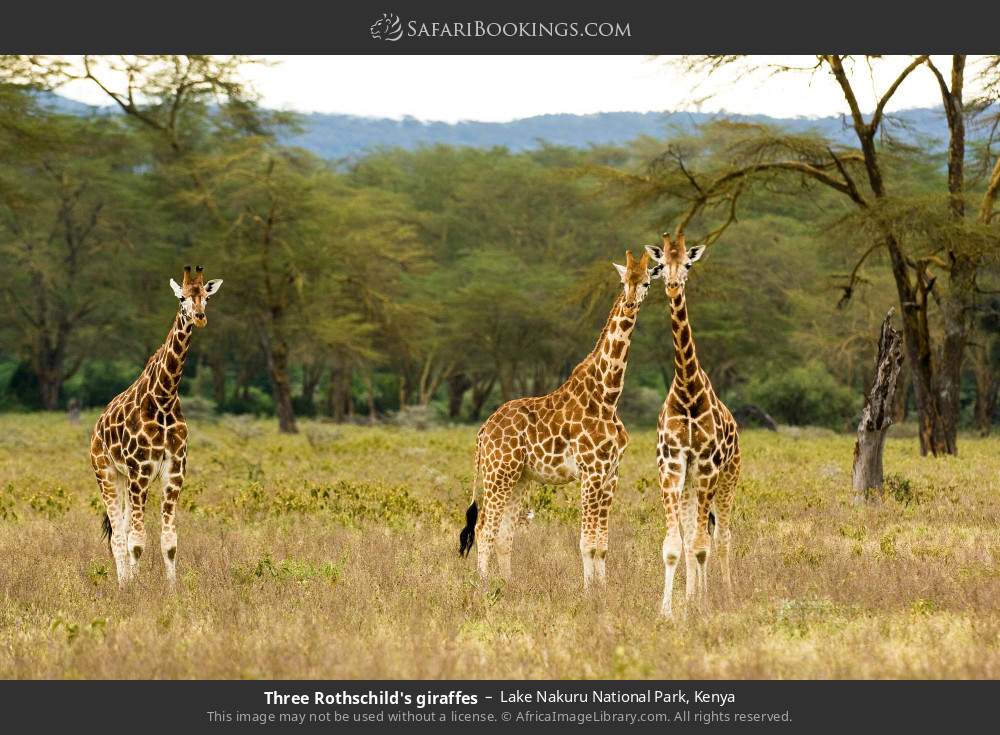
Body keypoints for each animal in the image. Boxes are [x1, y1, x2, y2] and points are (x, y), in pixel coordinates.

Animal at [91, 265, 223, 587]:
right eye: (181, 298)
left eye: (206, 299)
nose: (199, 317)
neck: (164, 397)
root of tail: (97, 427)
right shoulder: (140, 471)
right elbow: (137, 541)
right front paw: (138, 589)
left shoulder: (173, 472)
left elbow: (169, 541)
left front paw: (172, 589)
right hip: (107, 473)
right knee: (118, 536)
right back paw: (123, 586)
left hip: (126, 479)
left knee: (122, 529)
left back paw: (125, 581)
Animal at [458, 250, 662, 589]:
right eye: (624, 281)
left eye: (646, 282)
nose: (631, 303)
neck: (608, 395)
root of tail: (484, 429)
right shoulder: (591, 472)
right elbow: (586, 542)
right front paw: (589, 592)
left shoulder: (611, 474)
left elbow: (602, 543)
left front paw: (603, 589)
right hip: (498, 472)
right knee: (484, 529)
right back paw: (485, 586)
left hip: (520, 478)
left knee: (504, 534)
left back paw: (508, 587)